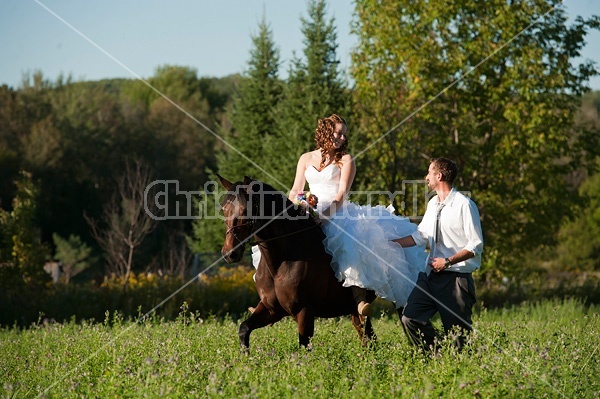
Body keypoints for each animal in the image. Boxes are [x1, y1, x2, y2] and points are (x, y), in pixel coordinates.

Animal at [216, 176, 376, 354]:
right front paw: (246, 357)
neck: (280, 264)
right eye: (224, 210)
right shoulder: (271, 309)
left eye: (245, 210)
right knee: (366, 334)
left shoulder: (304, 311)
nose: (229, 253)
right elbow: (244, 329)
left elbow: (304, 345)